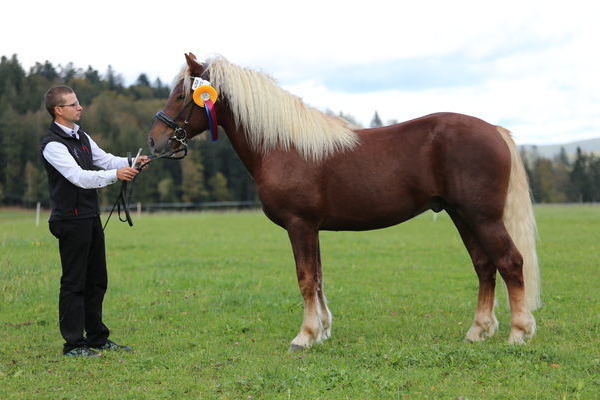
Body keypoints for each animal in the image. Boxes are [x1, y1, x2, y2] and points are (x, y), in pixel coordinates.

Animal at [148, 54, 540, 350]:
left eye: (182, 96)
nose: (155, 141)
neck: (282, 146)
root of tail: (494, 130)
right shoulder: (312, 228)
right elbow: (318, 277)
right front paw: (321, 331)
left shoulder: (300, 225)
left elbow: (306, 278)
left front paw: (304, 337)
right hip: (463, 216)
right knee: (484, 266)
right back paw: (478, 331)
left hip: (483, 217)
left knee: (510, 261)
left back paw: (519, 332)